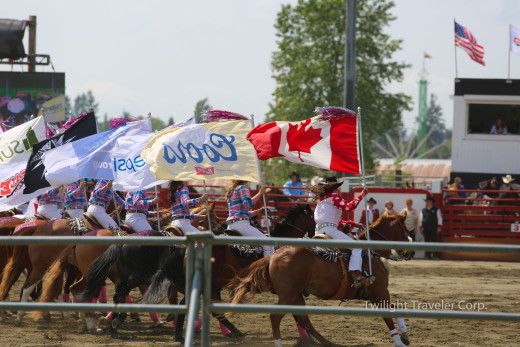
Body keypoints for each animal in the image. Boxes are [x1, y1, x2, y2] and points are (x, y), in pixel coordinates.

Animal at [139, 205, 316, 344]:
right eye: (314, 219)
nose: (314, 235)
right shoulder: (288, 291)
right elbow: (297, 313)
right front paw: (309, 338)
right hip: (208, 284)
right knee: (214, 311)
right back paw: (234, 332)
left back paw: (181, 335)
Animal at [228, 213, 414, 347]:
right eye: (405, 229)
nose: (411, 252)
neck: (371, 254)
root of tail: (273, 256)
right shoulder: (381, 292)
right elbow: (388, 316)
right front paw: (399, 341)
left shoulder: (374, 295)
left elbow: (395, 309)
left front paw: (405, 335)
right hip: (288, 296)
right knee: (276, 317)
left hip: (296, 295)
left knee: (305, 321)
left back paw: (329, 343)